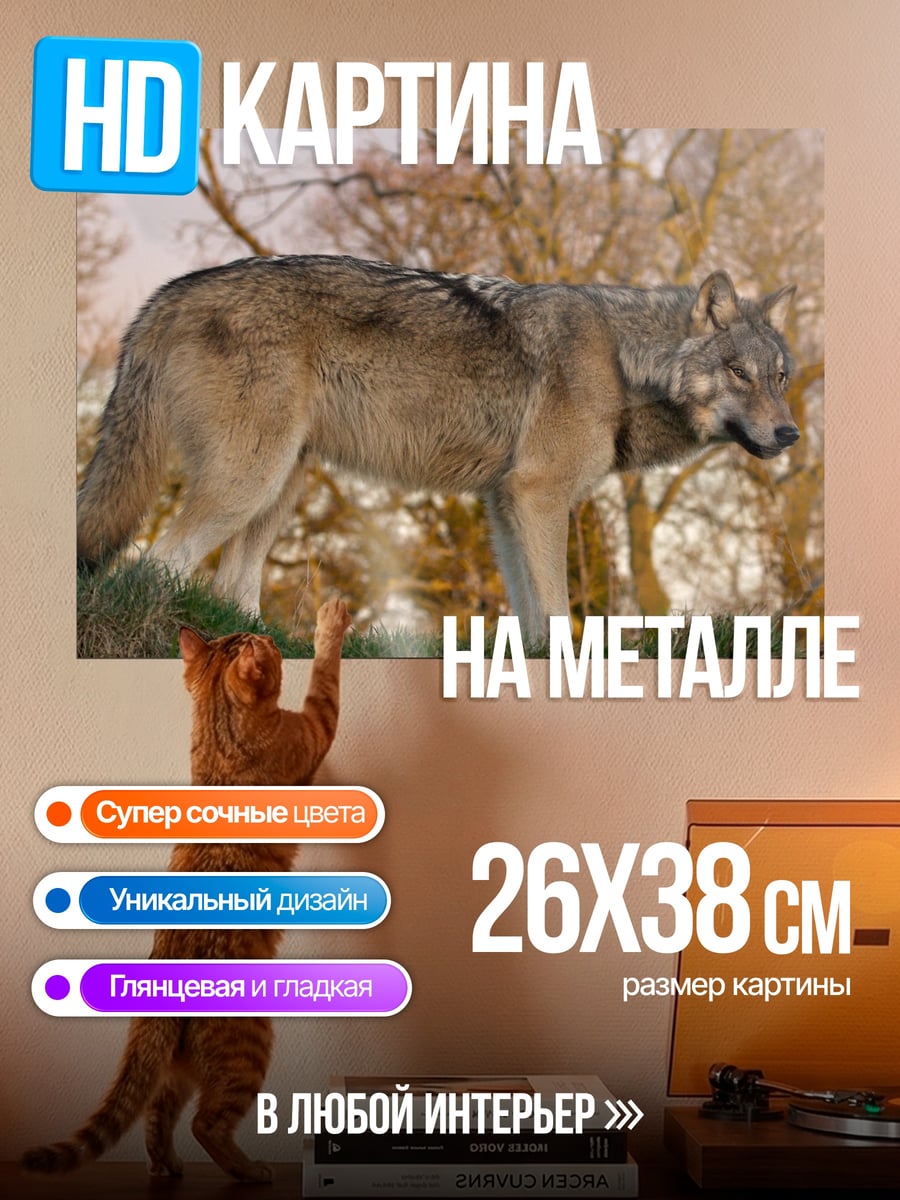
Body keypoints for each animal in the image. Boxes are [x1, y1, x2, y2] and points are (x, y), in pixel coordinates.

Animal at [77, 255, 798, 639]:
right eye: (740, 373)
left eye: (780, 377)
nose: (790, 433)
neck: (623, 362)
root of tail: (167, 293)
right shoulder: (537, 496)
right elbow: (558, 612)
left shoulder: (504, 504)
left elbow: (531, 618)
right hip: (247, 481)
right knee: (149, 568)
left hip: (280, 485)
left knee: (228, 585)